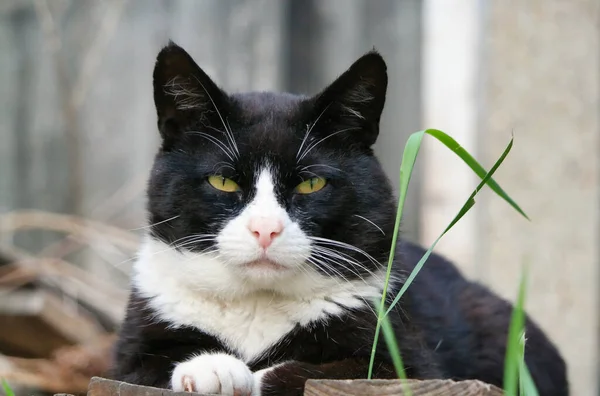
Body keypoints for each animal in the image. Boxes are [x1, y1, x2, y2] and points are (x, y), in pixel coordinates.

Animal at [111, 43, 568, 396]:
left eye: (311, 184)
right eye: (222, 180)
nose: (265, 229)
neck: (257, 305)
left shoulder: (407, 359)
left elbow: (324, 370)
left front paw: (251, 375)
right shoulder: (132, 350)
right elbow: (149, 363)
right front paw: (212, 367)